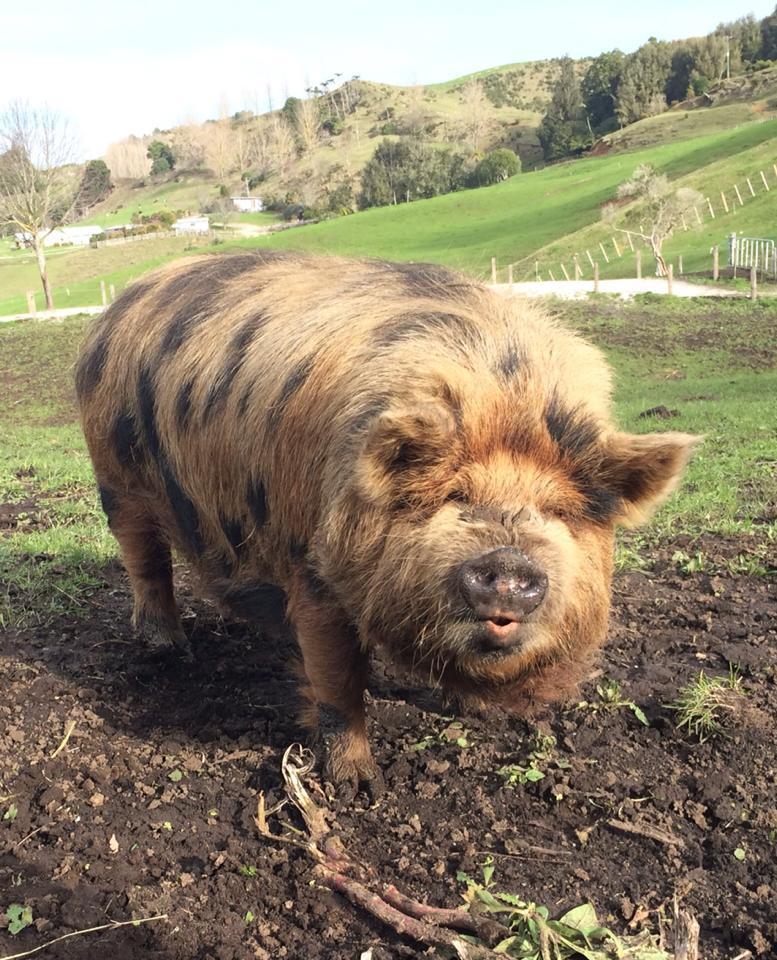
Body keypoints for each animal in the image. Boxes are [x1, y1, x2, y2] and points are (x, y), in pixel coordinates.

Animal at [76, 251, 696, 784]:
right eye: (453, 496)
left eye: (557, 511)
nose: (509, 561)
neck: (500, 395)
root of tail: (125, 300)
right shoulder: (313, 567)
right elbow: (337, 680)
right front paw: (355, 784)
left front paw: (469, 710)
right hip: (115, 479)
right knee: (145, 559)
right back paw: (166, 646)